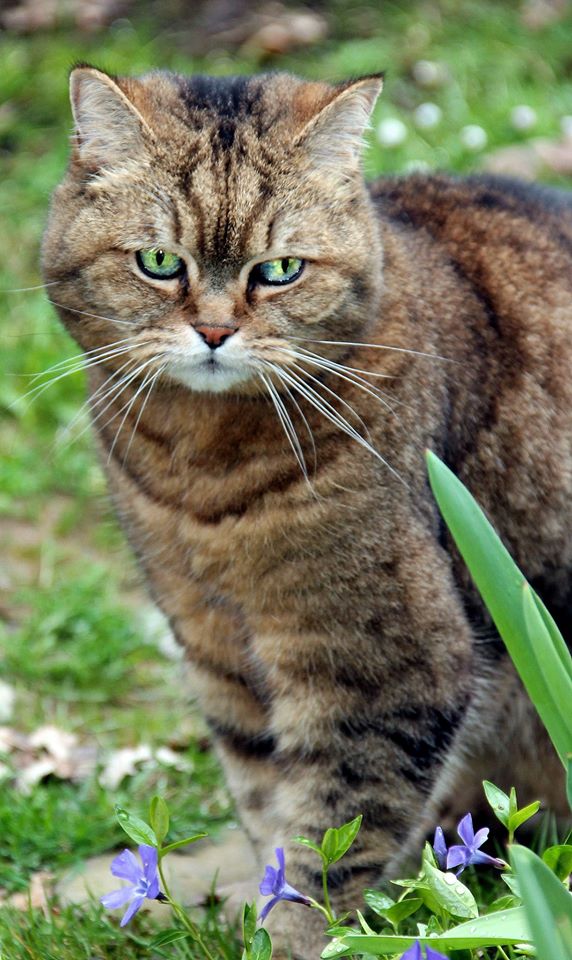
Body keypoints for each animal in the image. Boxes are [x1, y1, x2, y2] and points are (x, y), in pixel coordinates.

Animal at [43, 65, 572, 952]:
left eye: (281, 269)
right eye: (159, 262)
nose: (214, 331)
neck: (202, 469)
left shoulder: (389, 669)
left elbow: (330, 842)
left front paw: (294, 940)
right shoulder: (222, 655)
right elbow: (271, 815)